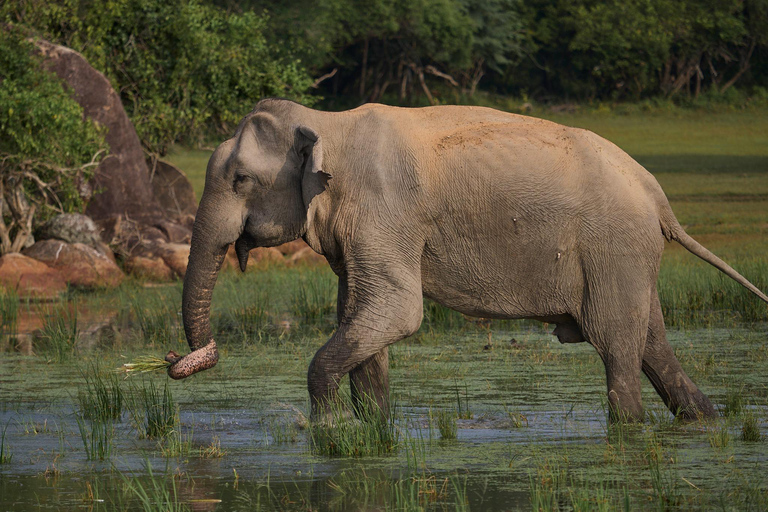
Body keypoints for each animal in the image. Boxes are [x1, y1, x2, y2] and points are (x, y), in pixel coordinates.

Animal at [168, 98, 768, 422]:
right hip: (630, 257)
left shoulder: (383, 211)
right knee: (654, 346)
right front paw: (372, 433)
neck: (327, 122)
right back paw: (706, 423)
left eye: (240, 179)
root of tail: (658, 195)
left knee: (617, 349)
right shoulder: (360, 229)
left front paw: (325, 433)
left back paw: (630, 431)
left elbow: (396, 311)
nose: (186, 358)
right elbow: (362, 320)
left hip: (612, 248)